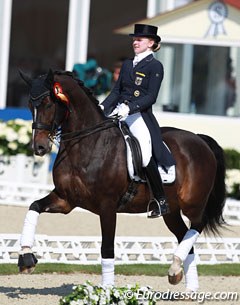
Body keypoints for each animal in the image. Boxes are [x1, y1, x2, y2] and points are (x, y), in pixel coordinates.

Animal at [17, 69, 226, 290]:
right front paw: (26, 258)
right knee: (184, 236)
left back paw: (177, 268)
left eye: (49, 103)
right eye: (30, 105)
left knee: (197, 225)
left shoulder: (107, 206)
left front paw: (107, 290)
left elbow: (107, 248)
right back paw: (184, 282)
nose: (39, 147)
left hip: (192, 203)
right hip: (171, 211)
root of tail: (200, 139)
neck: (87, 145)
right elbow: (34, 206)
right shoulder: (66, 200)